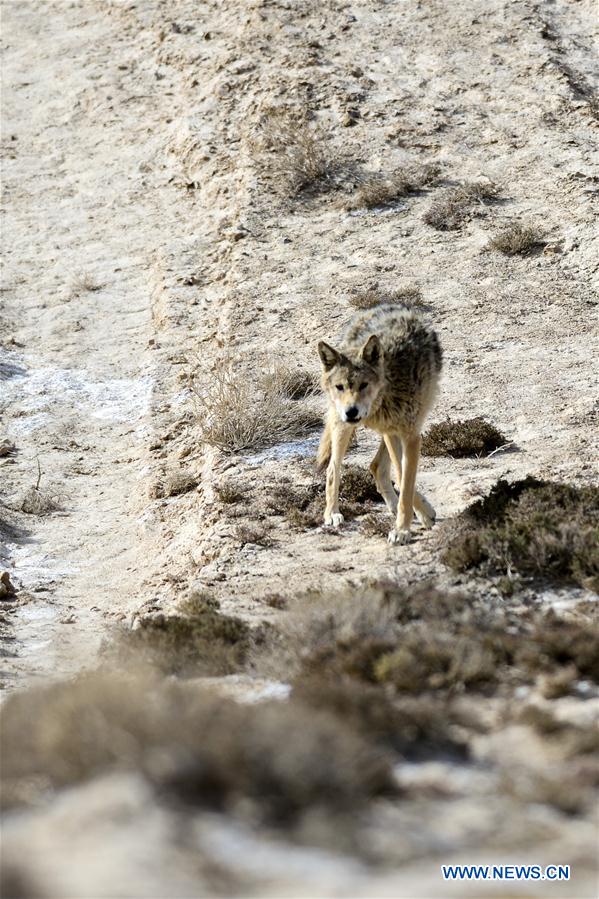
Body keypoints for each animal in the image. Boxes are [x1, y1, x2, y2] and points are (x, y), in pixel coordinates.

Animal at [318, 306, 440, 544]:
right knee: (333, 468)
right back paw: (332, 513)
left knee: (376, 466)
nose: (351, 411)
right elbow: (403, 477)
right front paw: (408, 524)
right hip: (343, 427)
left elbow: (405, 480)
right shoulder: (393, 433)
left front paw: (403, 527)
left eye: (364, 384)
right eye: (340, 387)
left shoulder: (409, 434)